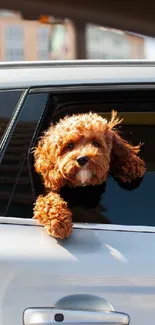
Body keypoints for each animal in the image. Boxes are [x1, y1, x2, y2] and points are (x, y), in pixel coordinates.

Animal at [32, 110, 145, 239]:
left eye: (95, 143)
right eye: (70, 145)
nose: (82, 159)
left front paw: (131, 165)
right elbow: (47, 201)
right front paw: (59, 222)